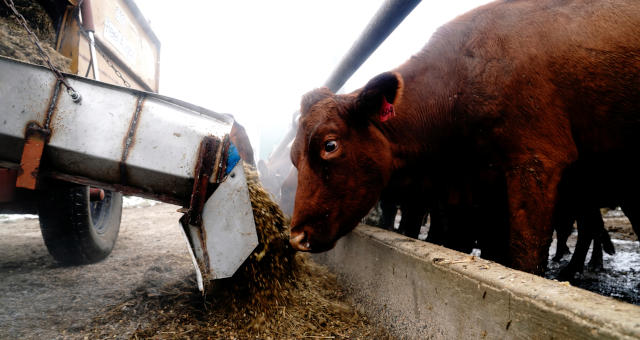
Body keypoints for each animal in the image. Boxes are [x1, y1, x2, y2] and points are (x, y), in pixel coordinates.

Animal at [288, 0, 640, 274]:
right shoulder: (467, 190)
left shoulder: (537, 158)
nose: (296, 237)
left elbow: (524, 253)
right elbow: (463, 240)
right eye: (293, 158)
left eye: (330, 145)